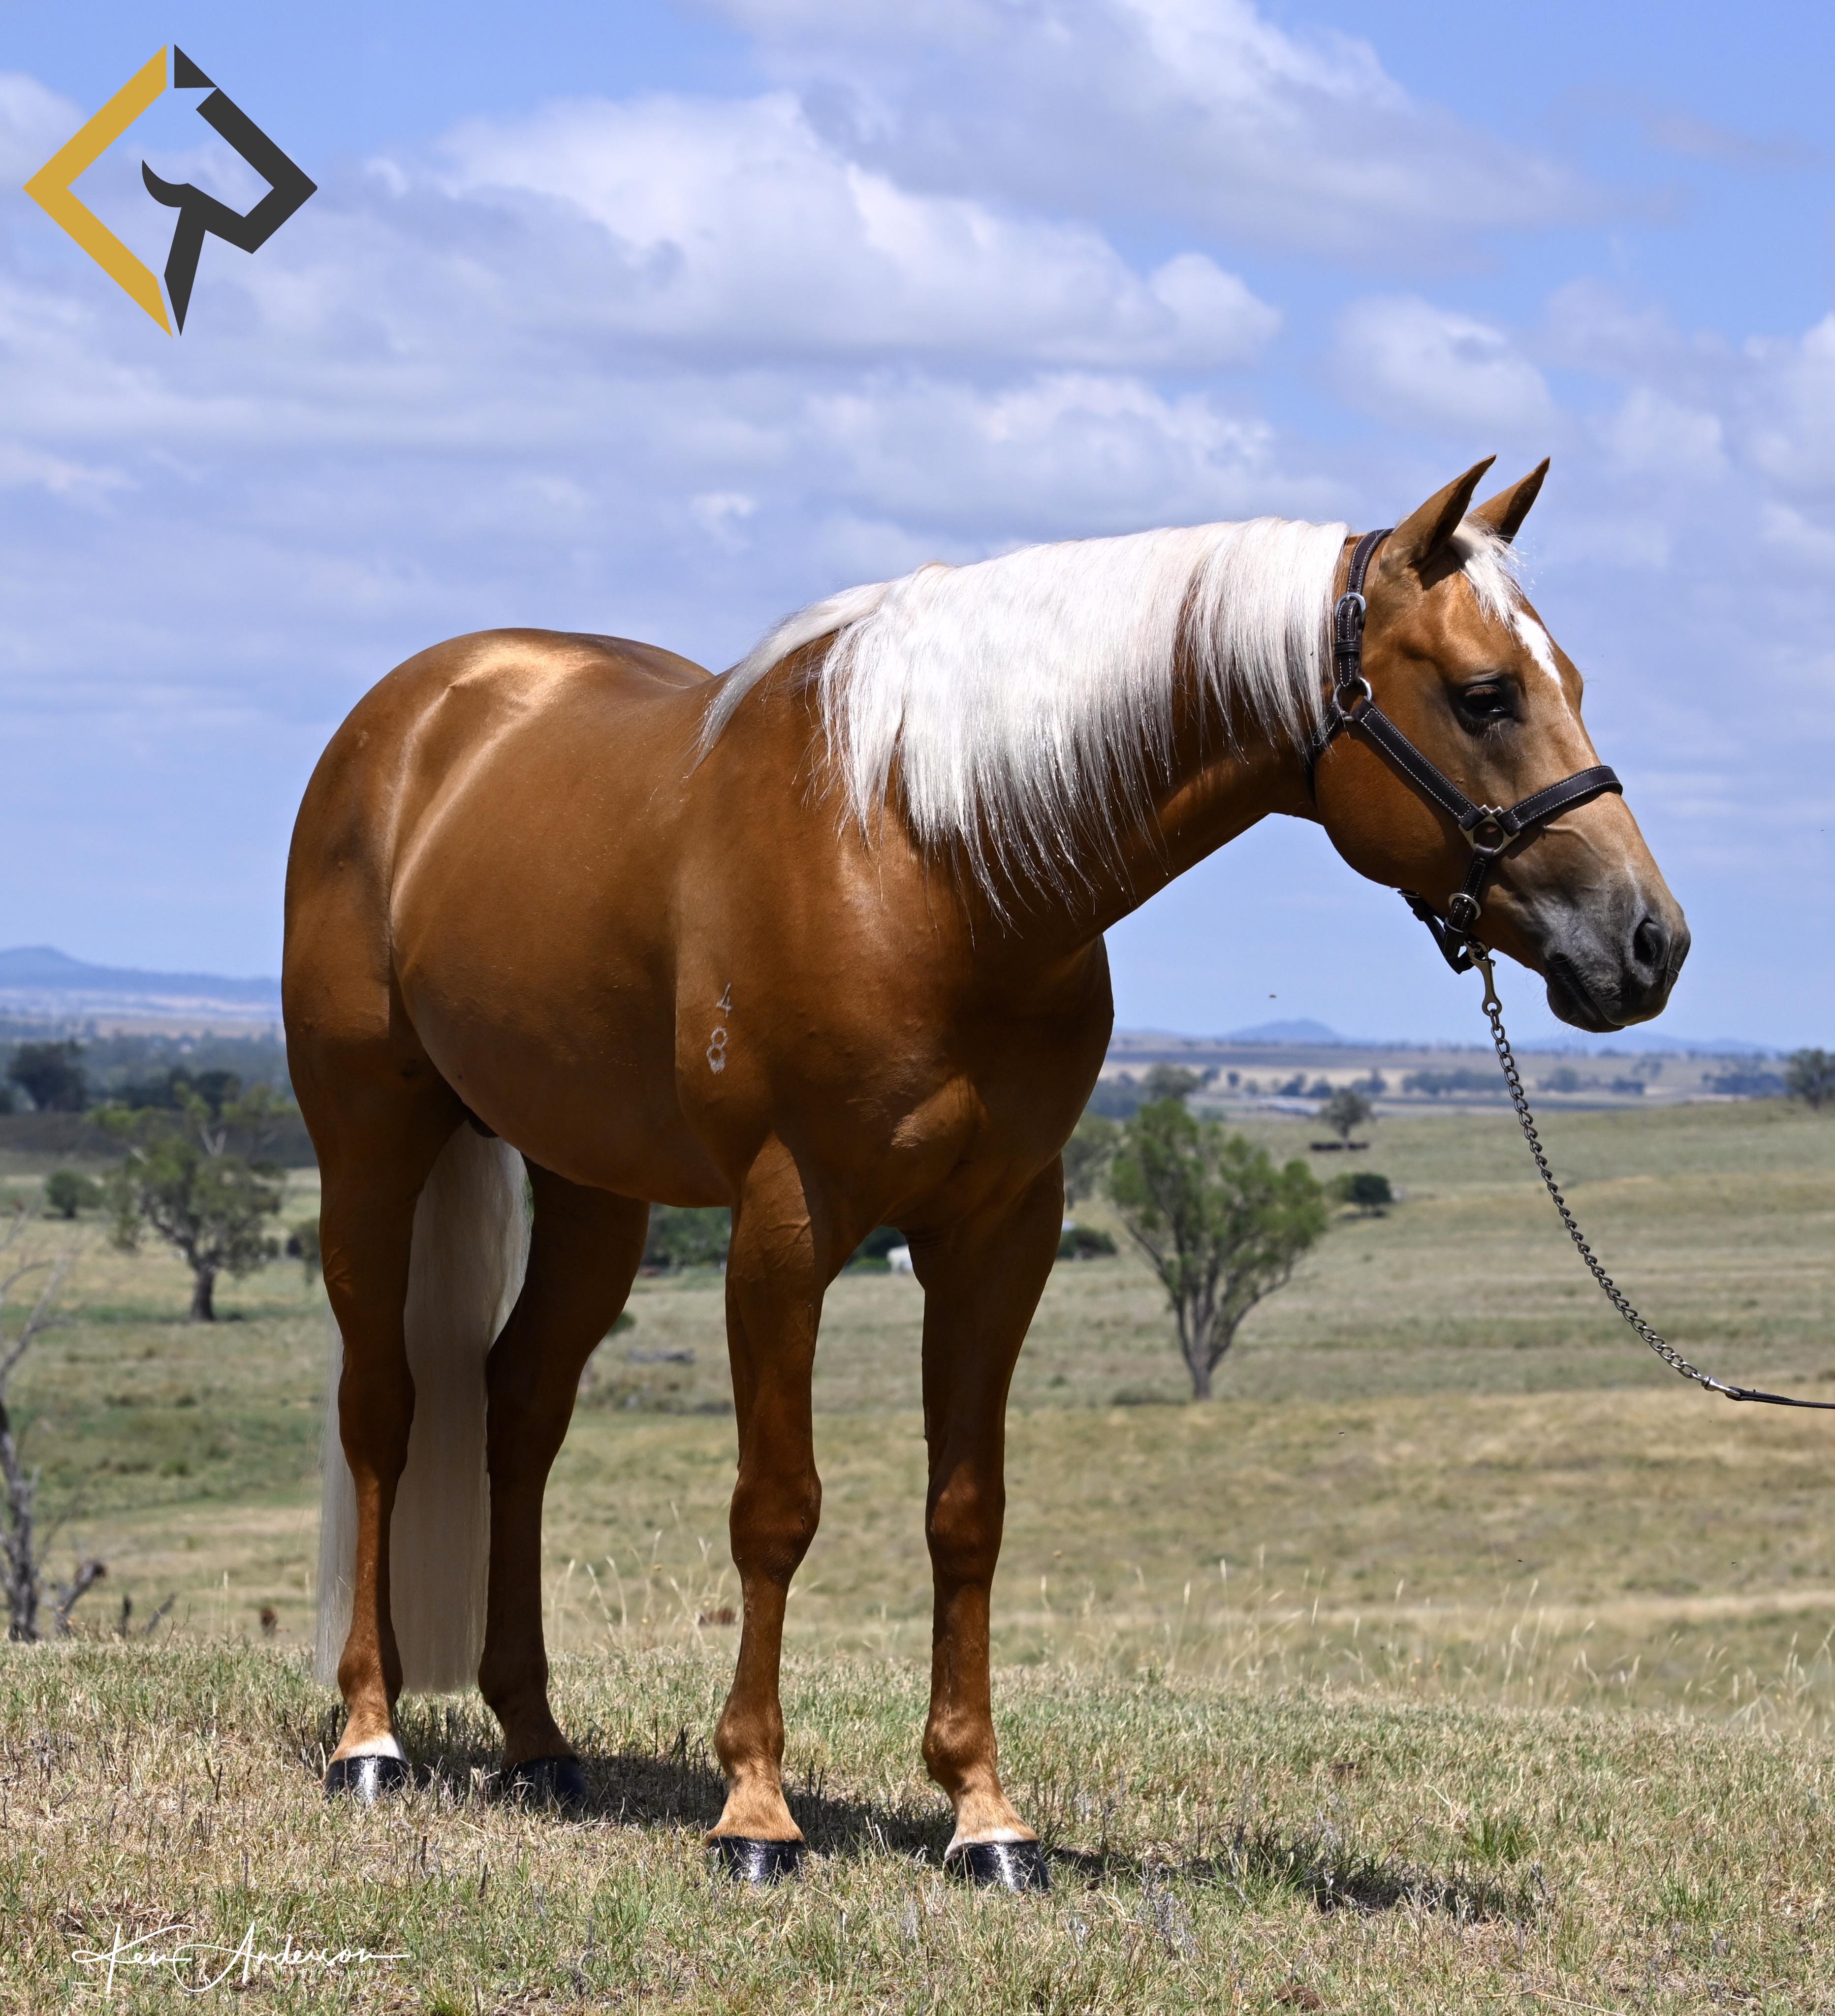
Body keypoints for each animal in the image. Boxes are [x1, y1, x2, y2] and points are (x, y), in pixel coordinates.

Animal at [286, 456, 1687, 1887]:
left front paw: (984, 1814)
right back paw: (370, 1737)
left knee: (519, 1412)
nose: (1648, 943)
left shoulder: (999, 1228)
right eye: (1484, 695)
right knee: (385, 1411)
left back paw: (535, 1740)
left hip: (593, 1188)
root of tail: (416, 714)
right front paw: (755, 1810)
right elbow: (775, 1507)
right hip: (371, 1143)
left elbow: (967, 1512)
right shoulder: (786, 1224)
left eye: (1568, 677)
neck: (931, 857)